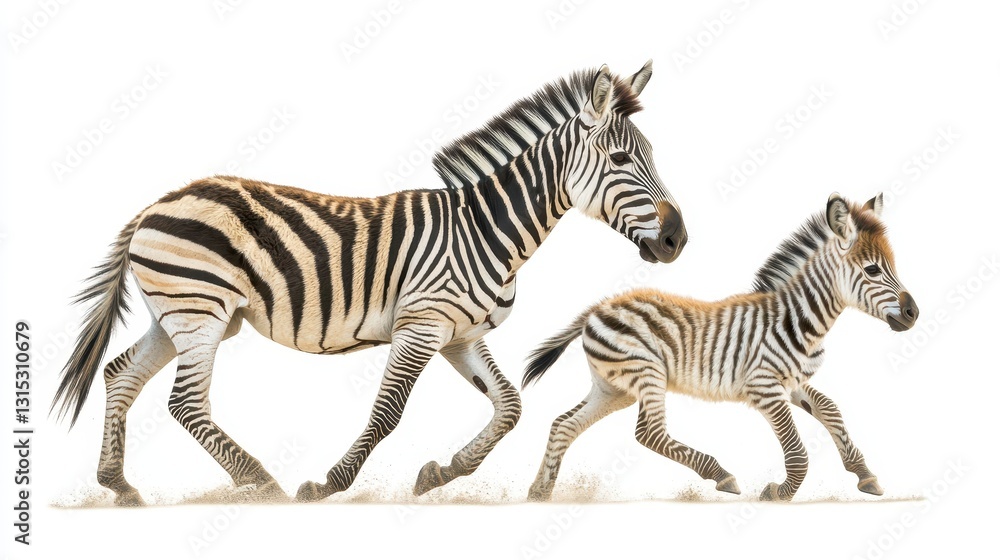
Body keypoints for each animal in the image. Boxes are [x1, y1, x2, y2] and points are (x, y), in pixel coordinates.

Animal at [50, 61, 689, 505]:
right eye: (620, 160)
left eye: (653, 155)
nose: (677, 239)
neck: (484, 230)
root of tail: (157, 203)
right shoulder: (421, 325)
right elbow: (387, 413)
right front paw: (329, 484)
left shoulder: (460, 334)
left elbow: (510, 406)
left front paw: (441, 472)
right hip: (200, 311)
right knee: (185, 403)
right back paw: (264, 482)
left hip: (181, 315)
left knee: (121, 374)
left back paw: (120, 485)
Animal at [522, 193, 918, 501]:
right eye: (872, 270)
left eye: (893, 266)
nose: (913, 313)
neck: (800, 320)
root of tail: (598, 308)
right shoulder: (763, 387)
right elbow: (797, 450)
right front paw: (780, 493)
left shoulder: (790, 383)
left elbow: (830, 409)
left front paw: (865, 475)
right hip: (645, 372)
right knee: (648, 433)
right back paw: (721, 474)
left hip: (613, 387)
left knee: (564, 425)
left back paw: (539, 493)